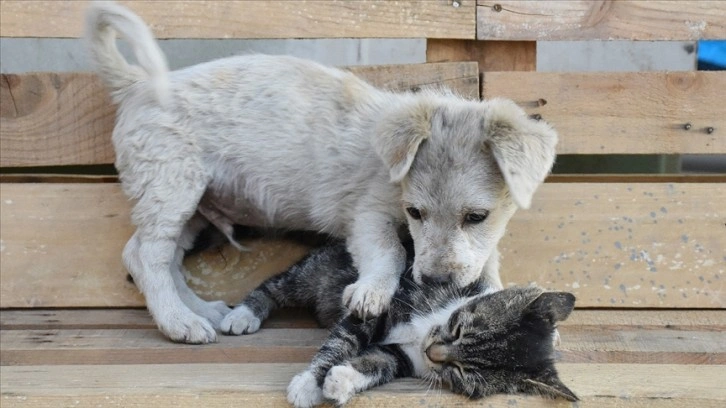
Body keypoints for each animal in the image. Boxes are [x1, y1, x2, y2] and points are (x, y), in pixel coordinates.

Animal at [86, 2, 564, 344]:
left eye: (476, 217)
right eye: (415, 212)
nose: (436, 283)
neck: (394, 171)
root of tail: (137, 84)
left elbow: (488, 265)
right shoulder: (366, 216)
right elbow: (390, 252)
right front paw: (372, 291)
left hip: (195, 206)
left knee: (162, 259)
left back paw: (200, 310)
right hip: (171, 187)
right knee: (146, 256)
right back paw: (179, 323)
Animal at [223, 241, 580, 406]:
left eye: (464, 372)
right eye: (460, 328)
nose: (432, 351)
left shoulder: (405, 357)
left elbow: (381, 361)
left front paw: (342, 380)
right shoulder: (377, 306)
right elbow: (341, 342)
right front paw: (309, 383)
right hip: (315, 273)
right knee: (276, 286)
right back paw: (243, 314)